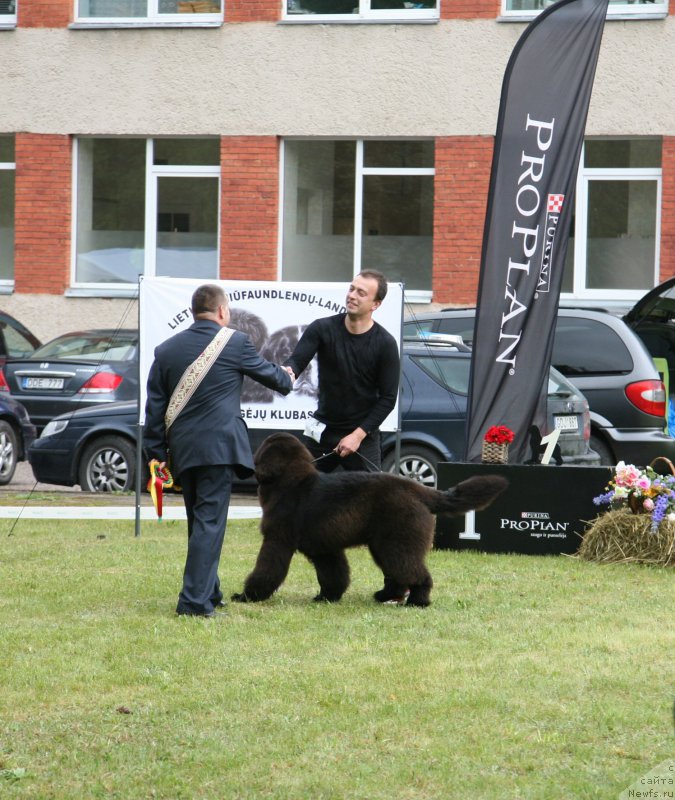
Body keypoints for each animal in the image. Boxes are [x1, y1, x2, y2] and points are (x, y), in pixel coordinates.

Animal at [234, 434, 508, 608]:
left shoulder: (277, 540)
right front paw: (326, 597)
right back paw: (385, 595)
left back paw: (417, 602)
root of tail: (421, 490)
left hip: (397, 541)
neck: (290, 483)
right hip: (384, 544)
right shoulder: (325, 548)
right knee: (398, 575)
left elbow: (267, 569)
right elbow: (333, 574)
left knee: (414, 573)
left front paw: (247, 595)